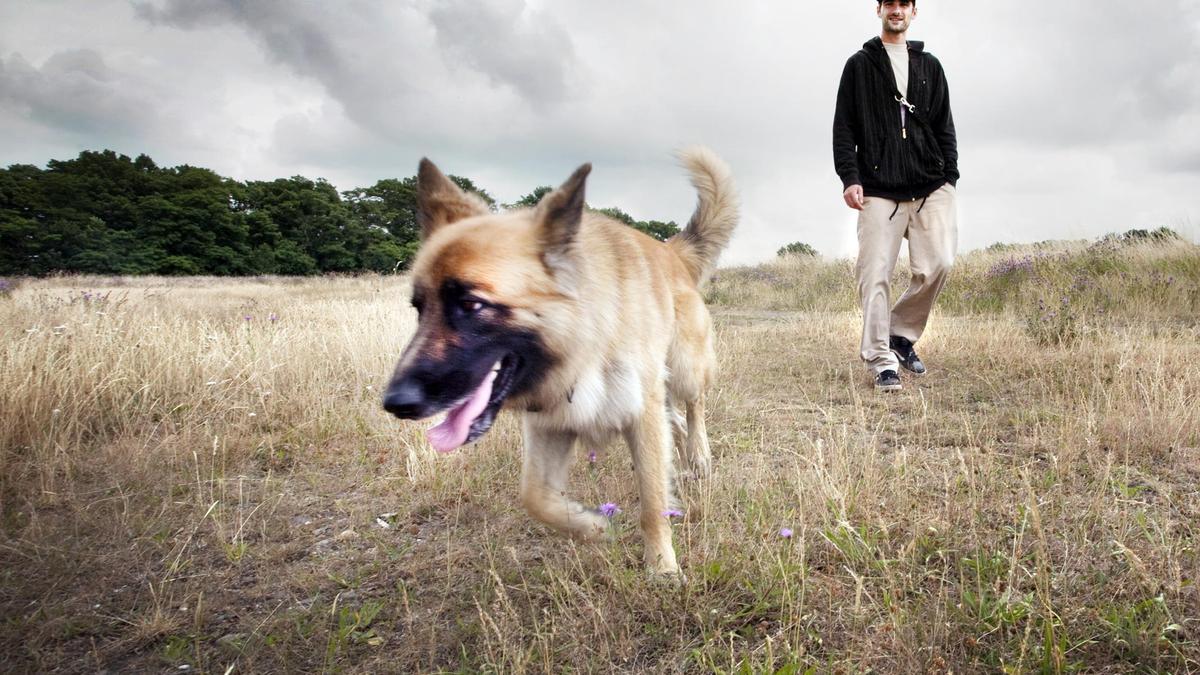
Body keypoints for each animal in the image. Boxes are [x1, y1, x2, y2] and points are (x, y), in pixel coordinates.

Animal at [384, 148, 739, 571]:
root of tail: (671, 250)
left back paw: (698, 456)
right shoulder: (550, 423)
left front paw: (662, 567)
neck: (582, 347)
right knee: (677, 421)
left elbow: (653, 502)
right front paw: (593, 526)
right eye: (419, 308)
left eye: (472, 304)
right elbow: (535, 498)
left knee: (694, 407)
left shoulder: (640, 413)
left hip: (684, 368)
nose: (396, 403)